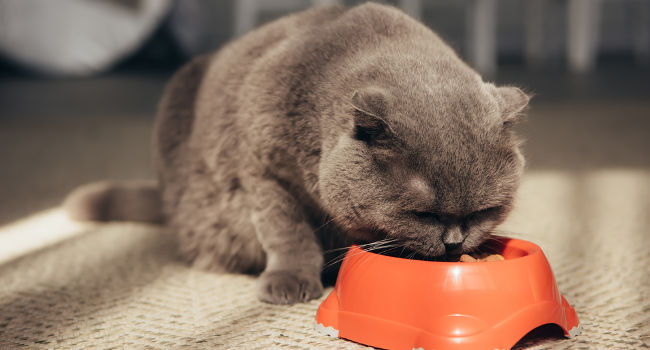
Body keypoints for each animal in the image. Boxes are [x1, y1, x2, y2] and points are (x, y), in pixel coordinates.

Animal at [64, 2, 528, 304]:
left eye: (484, 211)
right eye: (422, 214)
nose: (454, 243)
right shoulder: (264, 172)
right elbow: (288, 232)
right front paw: (290, 282)